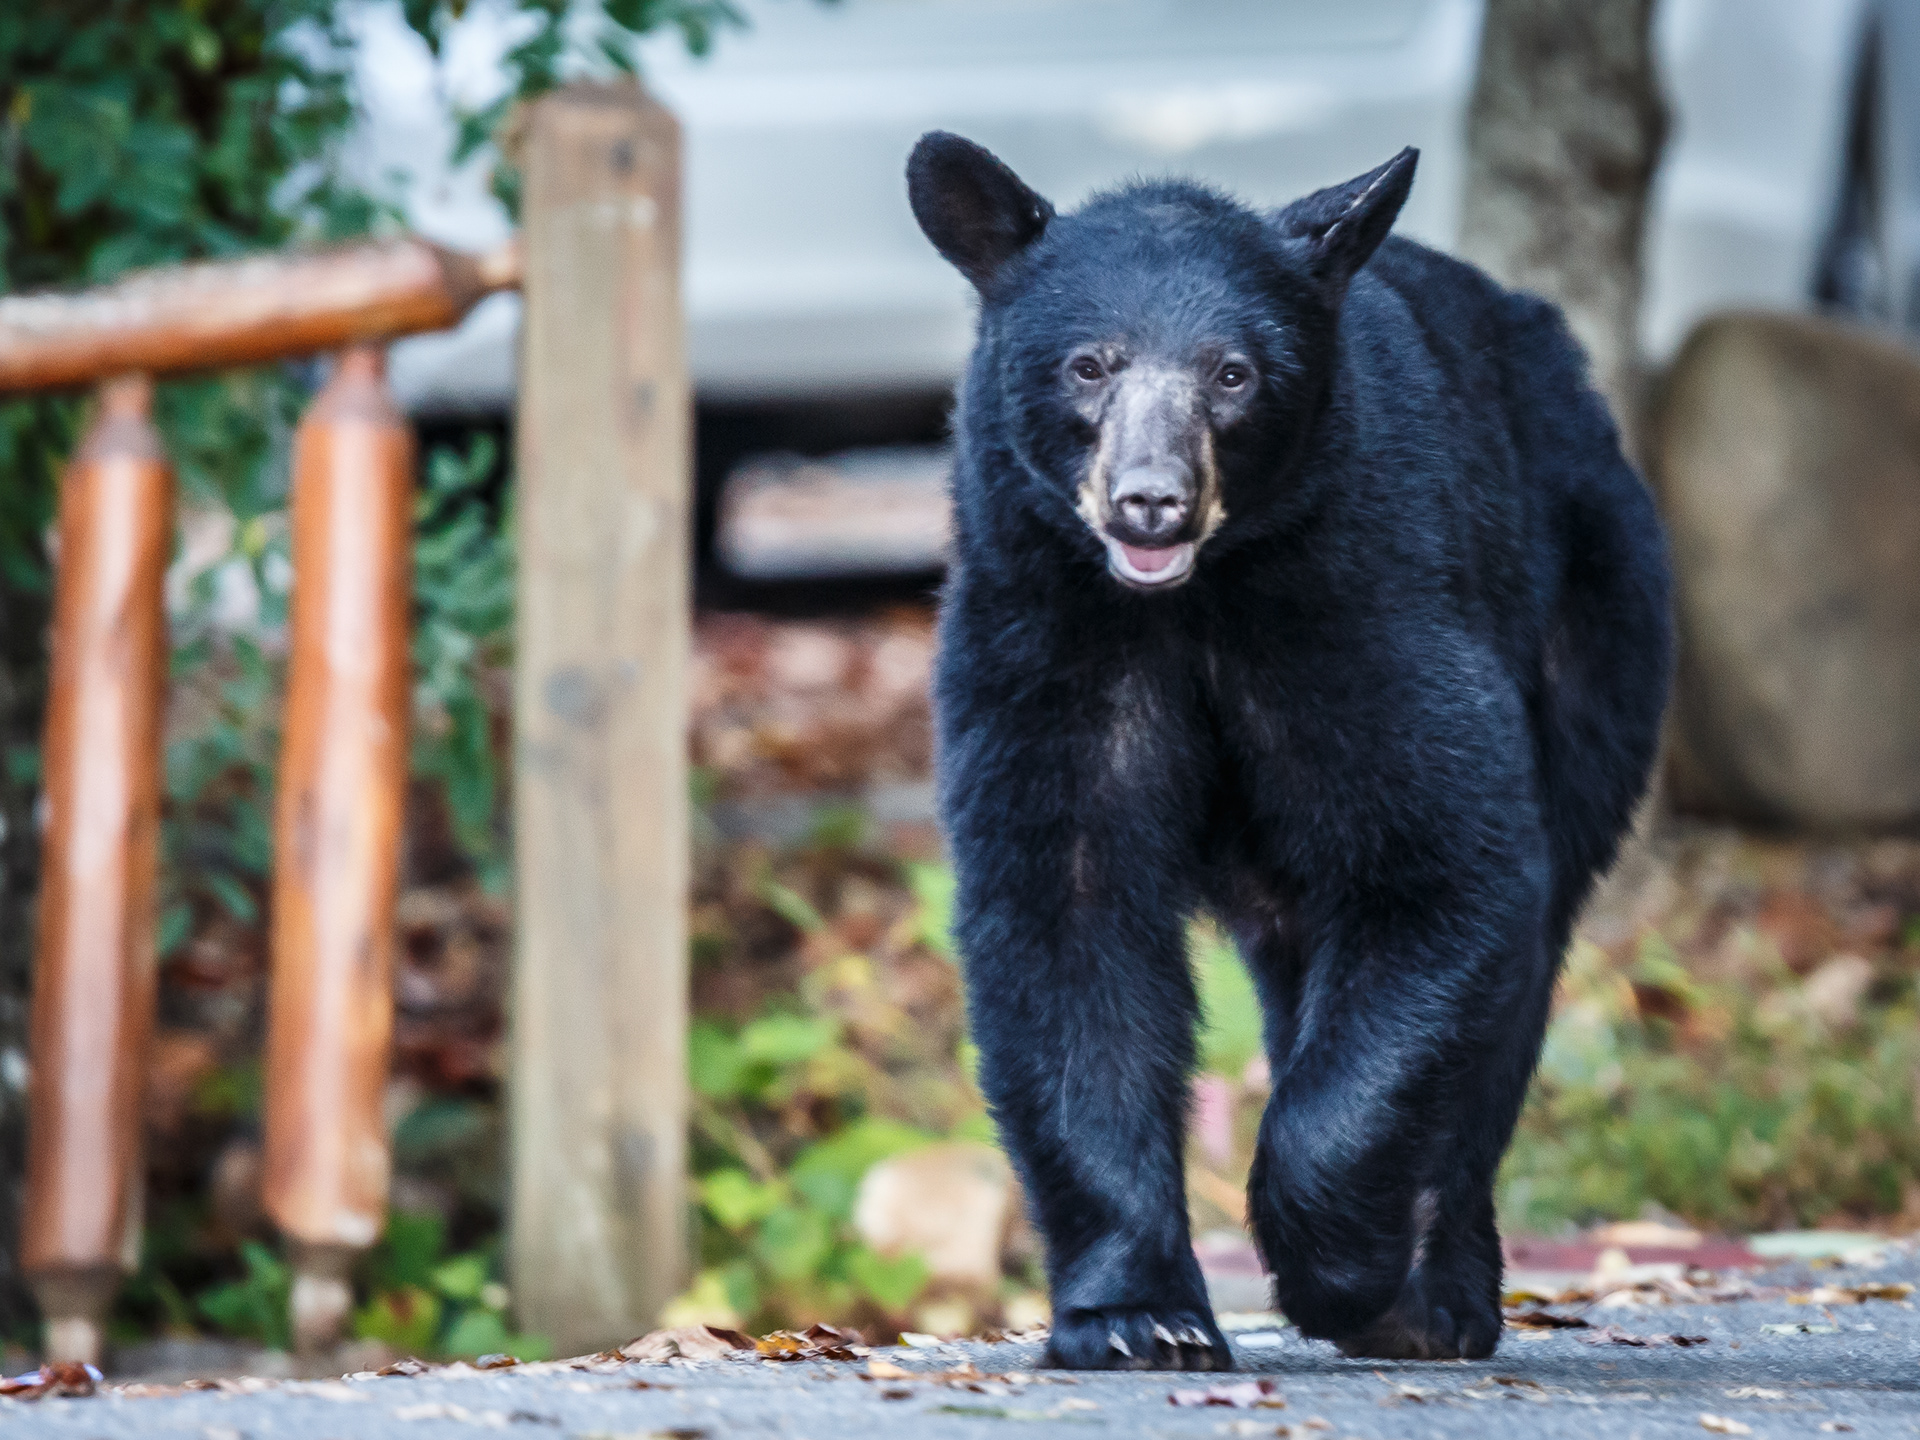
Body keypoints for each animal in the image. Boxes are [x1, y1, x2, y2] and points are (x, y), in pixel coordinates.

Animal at [906, 132, 1672, 1371]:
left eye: (1234, 374)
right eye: (1089, 365)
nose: (1152, 503)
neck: (1195, 602)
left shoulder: (1365, 599)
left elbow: (1440, 864)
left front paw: (1346, 1273)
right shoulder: (1043, 629)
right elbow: (1065, 913)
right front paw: (1137, 1317)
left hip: (1594, 624)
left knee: (1518, 968)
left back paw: (1443, 1288)